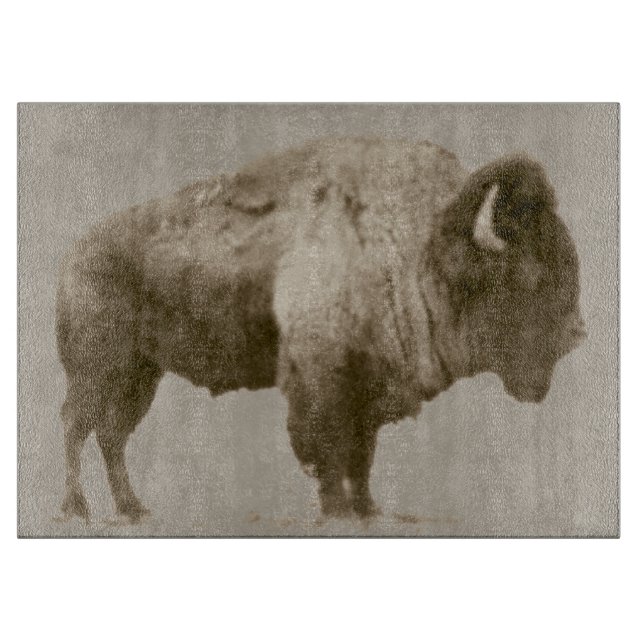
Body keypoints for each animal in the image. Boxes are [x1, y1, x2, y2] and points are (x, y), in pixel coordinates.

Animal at [56, 138, 585, 523]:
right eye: (528, 275)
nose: (577, 333)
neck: (417, 253)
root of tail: (78, 252)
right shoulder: (322, 383)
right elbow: (330, 450)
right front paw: (338, 513)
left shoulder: (367, 390)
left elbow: (362, 454)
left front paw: (368, 509)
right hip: (96, 371)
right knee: (76, 425)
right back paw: (77, 510)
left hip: (140, 376)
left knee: (111, 435)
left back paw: (133, 509)